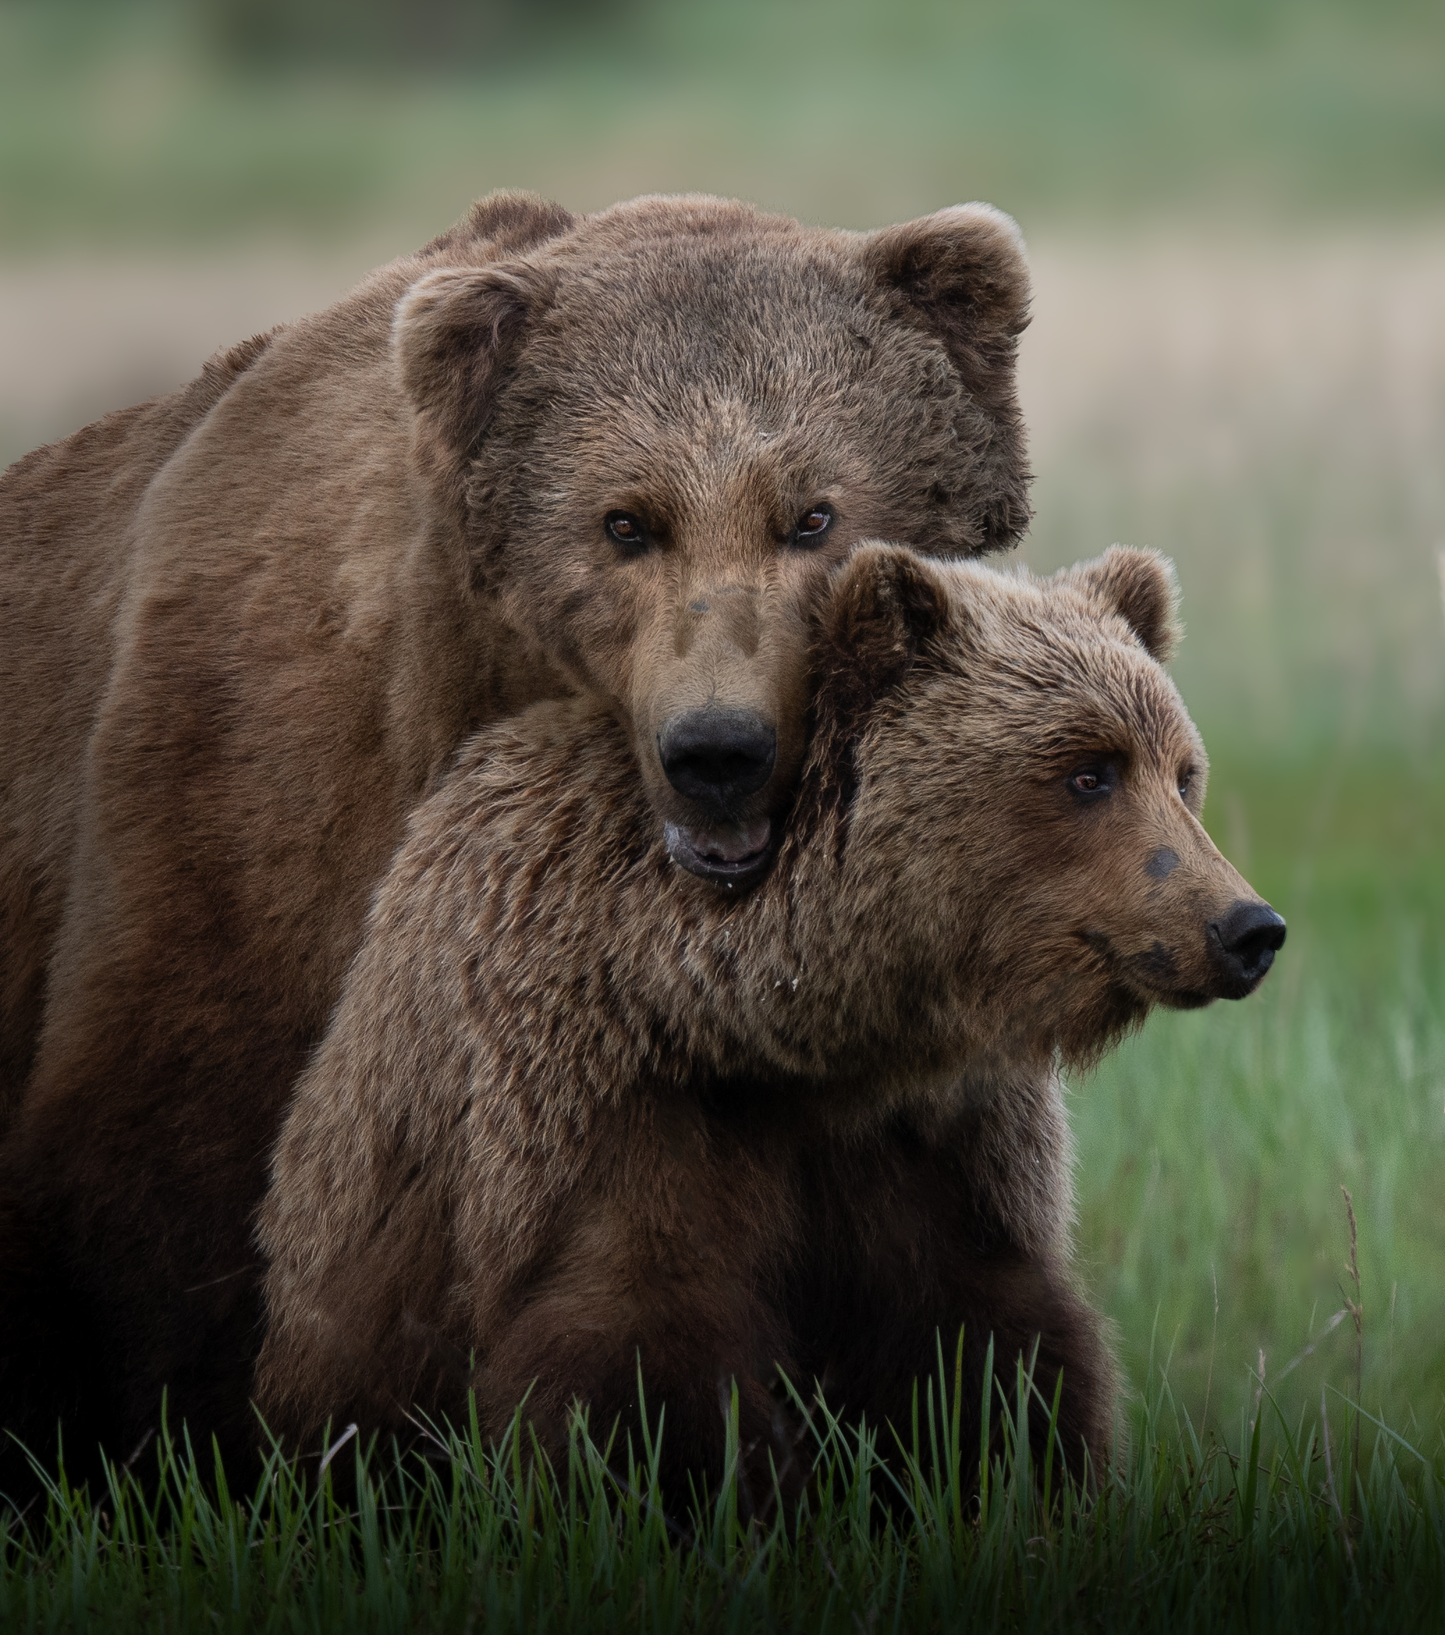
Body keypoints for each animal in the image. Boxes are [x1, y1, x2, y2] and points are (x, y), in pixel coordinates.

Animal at [0, 191, 1039, 1484]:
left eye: (813, 513)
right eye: (624, 523)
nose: (717, 748)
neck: (449, 710)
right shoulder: (241, 830)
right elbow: (160, 1195)